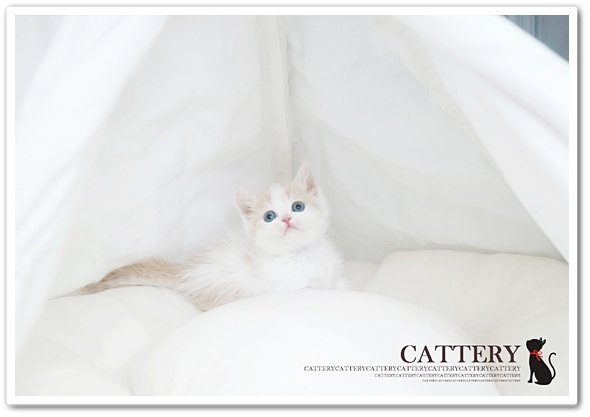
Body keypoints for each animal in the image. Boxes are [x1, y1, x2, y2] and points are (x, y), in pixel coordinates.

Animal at [68, 165, 348, 311]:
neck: (302, 255)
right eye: (269, 216)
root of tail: (184, 270)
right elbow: (311, 295)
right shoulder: (289, 288)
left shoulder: (333, 273)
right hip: (226, 284)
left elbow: (337, 285)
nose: (287, 219)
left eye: (298, 206)